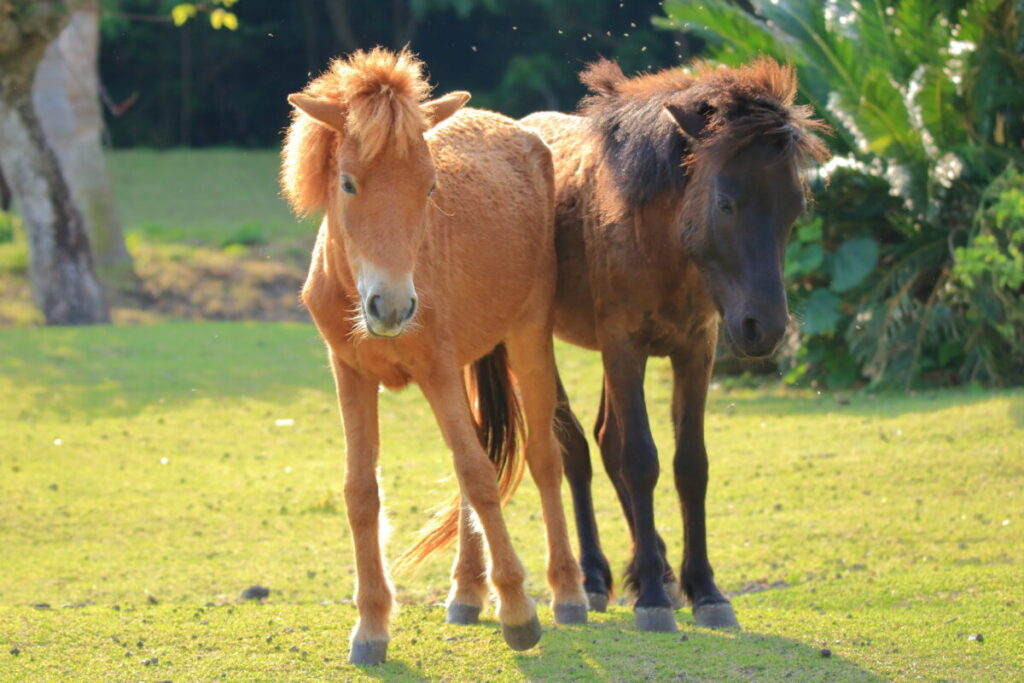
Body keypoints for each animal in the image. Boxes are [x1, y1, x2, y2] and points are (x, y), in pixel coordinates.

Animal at [280, 48, 587, 665]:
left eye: (429, 186)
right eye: (347, 183)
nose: (393, 306)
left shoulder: (439, 372)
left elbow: (478, 476)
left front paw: (518, 611)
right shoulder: (351, 375)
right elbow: (361, 491)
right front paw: (371, 626)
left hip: (528, 341)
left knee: (543, 459)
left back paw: (567, 592)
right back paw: (467, 593)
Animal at [512, 58, 830, 632]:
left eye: (795, 208)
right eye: (725, 203)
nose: (766, 328)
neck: (658, 240)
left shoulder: (694, 351)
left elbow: (689, 465)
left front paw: (701, 587)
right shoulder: (623, 346)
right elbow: (640, 459)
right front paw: (654, 600)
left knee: (604, 440)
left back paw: (650, 565)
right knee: (576, 448)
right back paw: (595, 576)